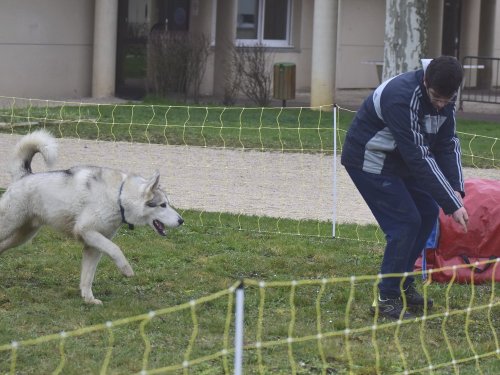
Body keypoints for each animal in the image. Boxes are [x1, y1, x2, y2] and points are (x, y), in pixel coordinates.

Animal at [0, 131, 184, 306]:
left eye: (168, 203)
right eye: (162, 205)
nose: (182, 221)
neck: (118, 197)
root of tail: (23, 176)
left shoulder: (93, 246)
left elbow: (87, 278)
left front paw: (89, 299)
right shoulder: (87, 231)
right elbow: (116, 249)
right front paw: (126, 269)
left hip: (22, 235)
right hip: (10, 226)